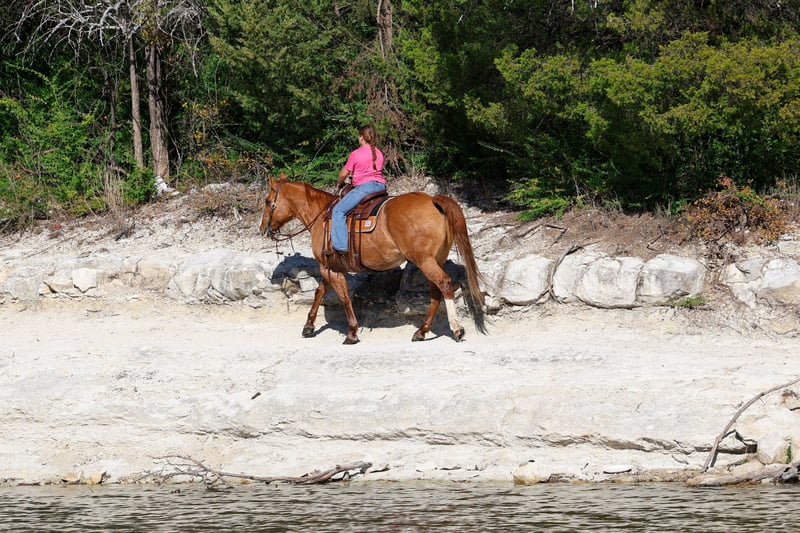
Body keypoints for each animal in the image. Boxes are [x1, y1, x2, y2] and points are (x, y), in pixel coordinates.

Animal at [260, 172, 487, 344]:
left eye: (268, 202)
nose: (263, 229)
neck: (322, 216)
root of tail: (432, 200)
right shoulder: (331, 268)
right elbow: (319, 292)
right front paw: (309, 326)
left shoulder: (328, 268)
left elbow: (343, 297)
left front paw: (352, 332)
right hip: (434, 260)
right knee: (435, 293)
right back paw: (422, 331)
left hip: (426, 261)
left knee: (444, 284)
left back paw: (456, 328)